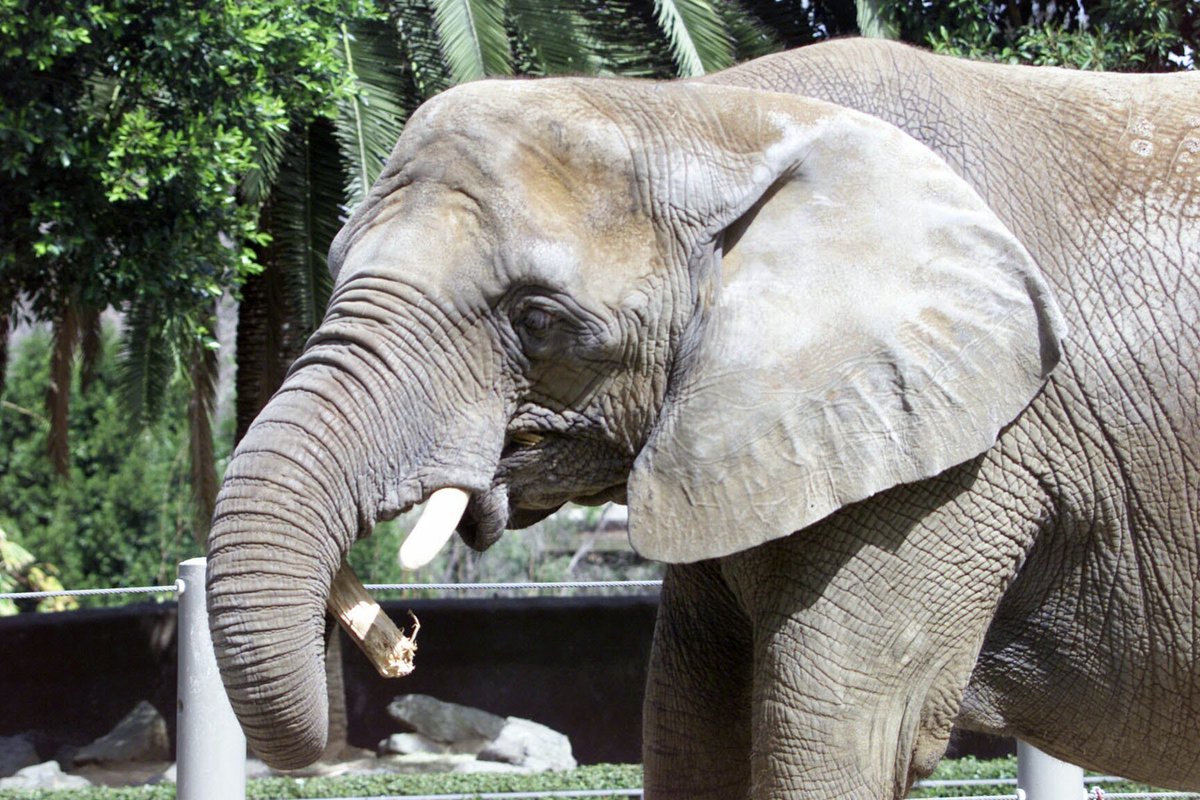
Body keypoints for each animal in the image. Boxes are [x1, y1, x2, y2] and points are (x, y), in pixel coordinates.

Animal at [206, 38, 1200, 798]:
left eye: (538, 321)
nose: (401, 648)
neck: (709, 117)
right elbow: (688, 725)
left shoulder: (958, 459)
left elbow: (832, 737)